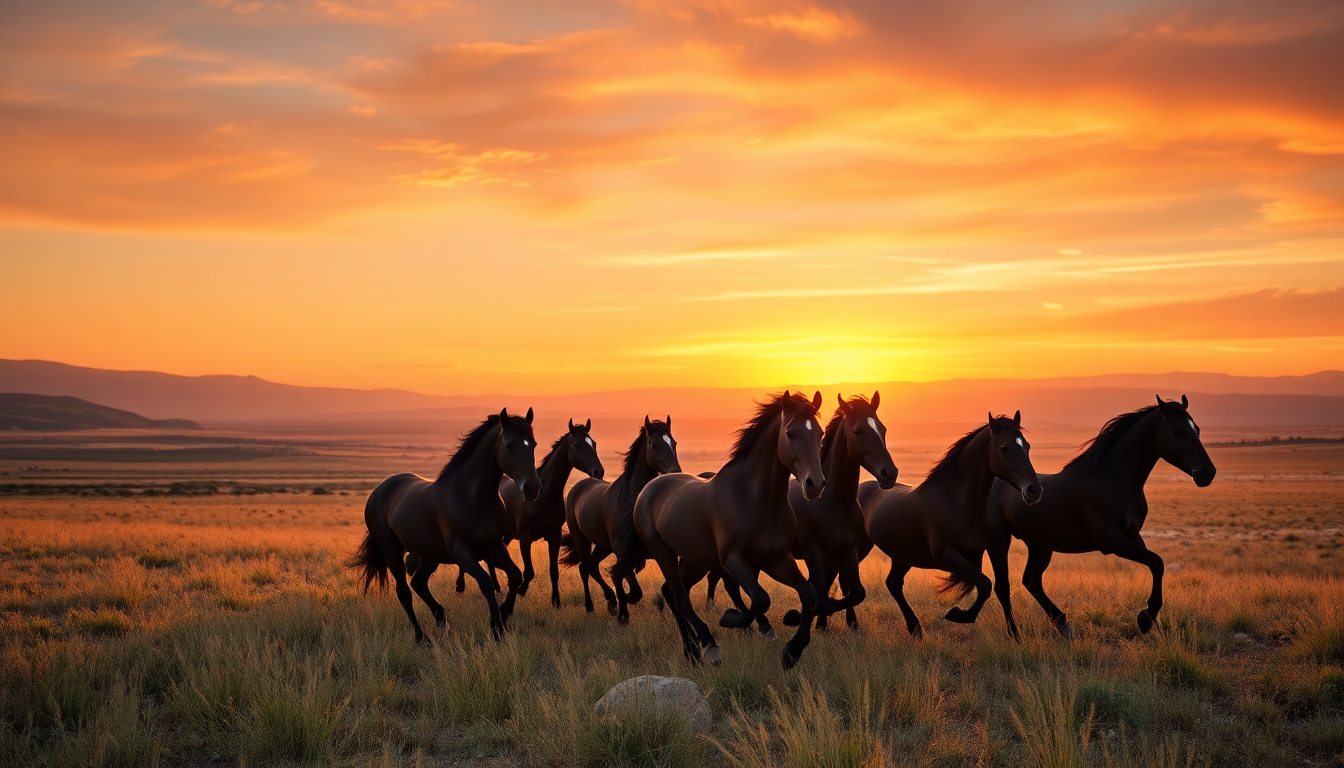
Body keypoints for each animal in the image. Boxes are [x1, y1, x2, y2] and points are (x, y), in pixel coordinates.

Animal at [348, 408, 540, 644]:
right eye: (509, 445)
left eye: (533, 444)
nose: (532, 488)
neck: (474, 497)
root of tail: (380, 490)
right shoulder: (462, 552)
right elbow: (486, 582)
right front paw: (496, 630)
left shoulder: (493, 548)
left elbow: (515, 576)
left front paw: (503, 616)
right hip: (391, 550)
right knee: (404, 592)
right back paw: (421, 638)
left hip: (430, 555)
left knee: (418, 583)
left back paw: (441, 619)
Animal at [560, 416, 681, 623]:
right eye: (655, 445)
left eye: (674, 442)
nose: (676, 472)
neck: (629, 501)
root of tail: (578, 485)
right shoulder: (622, 550)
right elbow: (631, 586)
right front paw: (623, 610)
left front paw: (621, 605)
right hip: (581, 539)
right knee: (587, 567)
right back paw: (597, 604)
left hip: (603, 545)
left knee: (589, 566)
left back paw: (606, 604)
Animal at [614, 391, 826, 669]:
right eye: (790, 433)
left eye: (820, 433)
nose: (815, 485)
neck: (756, 499)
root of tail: (647, 489)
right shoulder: (733, 560)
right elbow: (760, 598)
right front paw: (731, 618)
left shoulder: (777, 559)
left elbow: (809, 594)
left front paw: (792, 652)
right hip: (662, 552)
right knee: (679, 596)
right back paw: (708, 644)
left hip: (694, 561)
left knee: (671, 593)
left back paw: (691, 651)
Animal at [861, 412, 1042, 639]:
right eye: (1004, 448)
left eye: (1027, 446)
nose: (1034, 490)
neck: (957, 504)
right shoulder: (945, 556)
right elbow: (984, 583)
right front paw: (959, 615)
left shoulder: (996, 548)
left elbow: (1001, 587)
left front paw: (1015, 635)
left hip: (902, 557)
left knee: (893, 583)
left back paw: (915, 629)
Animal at [987, 395, 1216, 639]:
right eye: (1176, 431)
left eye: (1197, 429)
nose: (1207, 473)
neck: (1112, 480)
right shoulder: (1110, 540)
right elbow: (1156, 562)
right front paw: (1146, 618)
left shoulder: (1132, 536)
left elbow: (1157, 564)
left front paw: (1147, 616)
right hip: (999, 541)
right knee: (1004, 586)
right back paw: (1016, 634)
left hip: (1040, 545)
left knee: (1031, 581)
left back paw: (1063, 624)